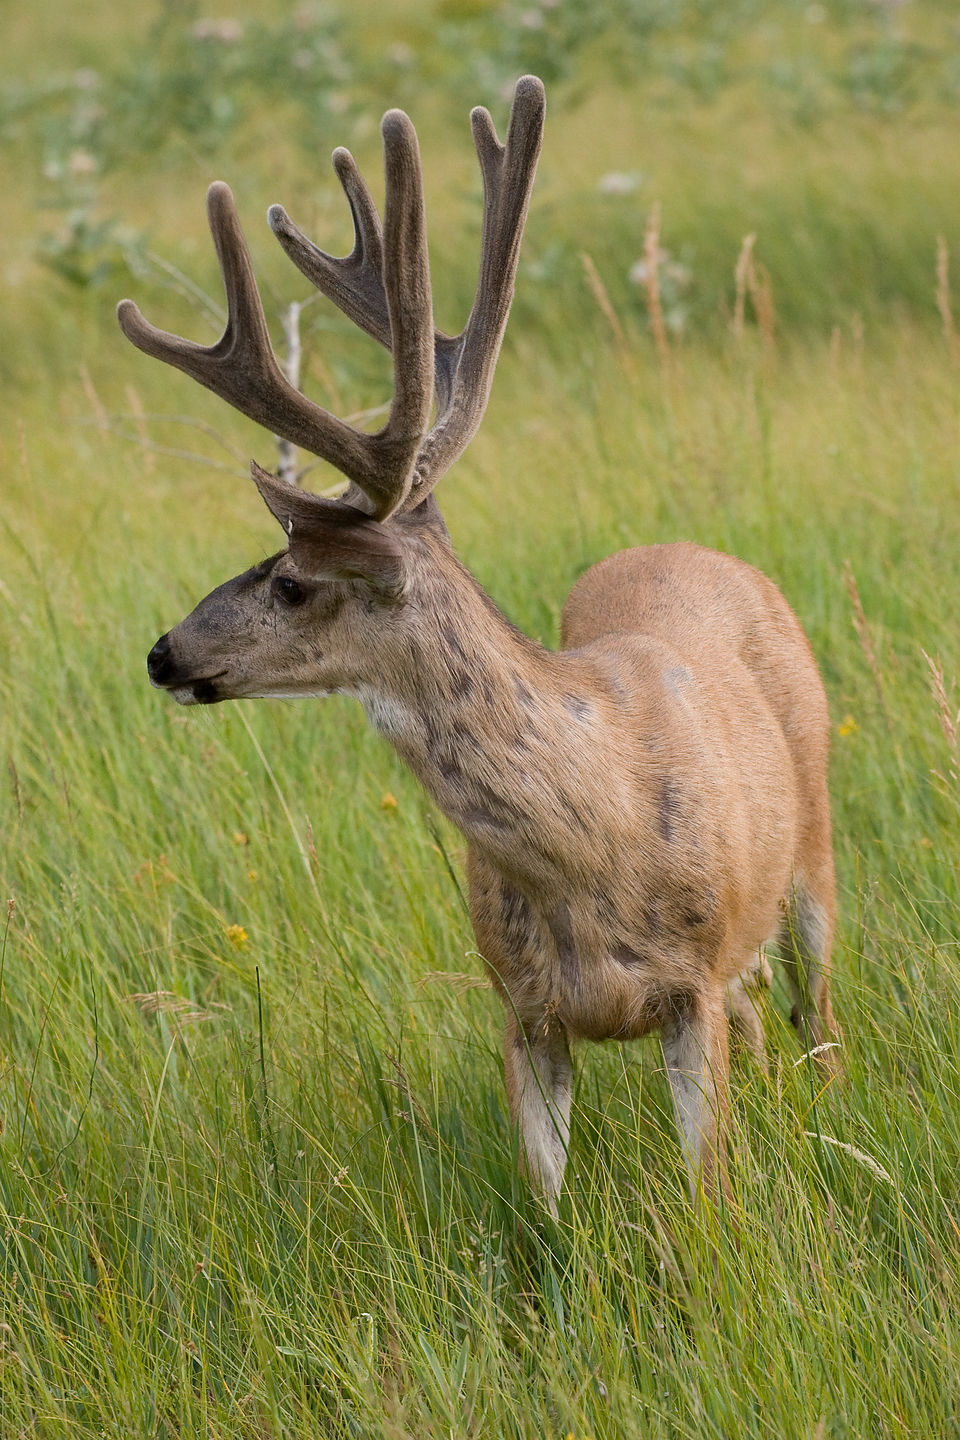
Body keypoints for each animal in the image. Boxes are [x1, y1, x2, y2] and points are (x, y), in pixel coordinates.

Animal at [122, 73, 840, 1209]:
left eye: (291, 581)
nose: (163, 653)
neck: (592, 849)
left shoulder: (690, 989)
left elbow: (708, 1196)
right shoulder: (523, 1007)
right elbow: (543, 1208)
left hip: (813, 850)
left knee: (823, 1012)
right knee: (768, 1013)